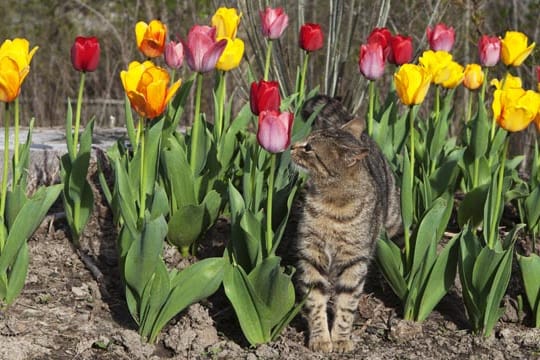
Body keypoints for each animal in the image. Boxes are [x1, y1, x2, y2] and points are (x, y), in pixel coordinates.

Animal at [292, 95, 400, 352]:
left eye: (309, 148)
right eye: (305, 141)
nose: (292, 145)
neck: (333, 203)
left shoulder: (354, 260)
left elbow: (346, 304)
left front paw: (340, 338)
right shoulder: (311, 253)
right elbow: (315, 299)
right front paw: (321, 338)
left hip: (392, 221)